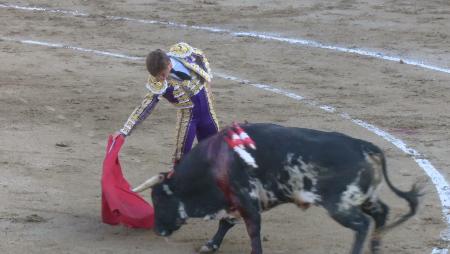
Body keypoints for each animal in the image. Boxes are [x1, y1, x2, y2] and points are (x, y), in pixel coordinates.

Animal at [134, 123, 422, 254]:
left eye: (159, 200)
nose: (157, 230)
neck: (214, 161)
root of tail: (365, 146)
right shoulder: (237, 201)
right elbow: (226, 223)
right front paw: (211, 245)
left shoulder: (245, 201)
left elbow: (252, 232)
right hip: (364, 197)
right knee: (381, 213)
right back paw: (375, 247)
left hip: (340, 204)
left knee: (363, 224)